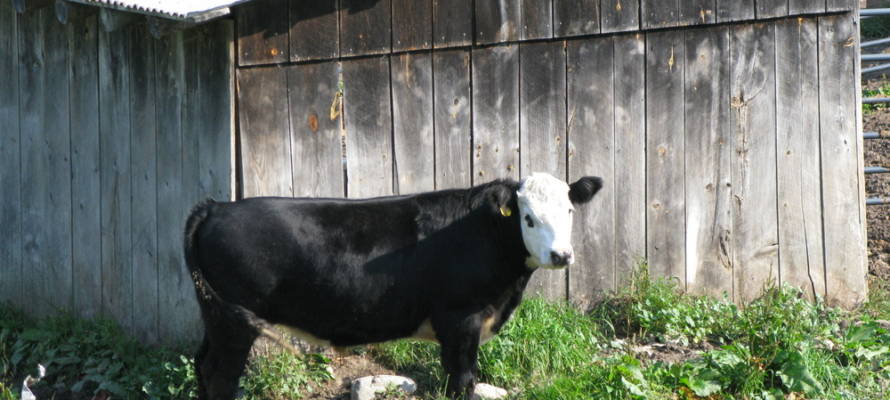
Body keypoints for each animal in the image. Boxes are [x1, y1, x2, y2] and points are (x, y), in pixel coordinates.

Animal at [184, 172, 603, 399]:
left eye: (569, 210)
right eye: (528, 218)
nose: (561, 255)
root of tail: (216, 207)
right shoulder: (460, 320)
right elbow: (462, 382)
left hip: (215, 316)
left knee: (202, 365)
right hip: (235, 324)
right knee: (221, 378)